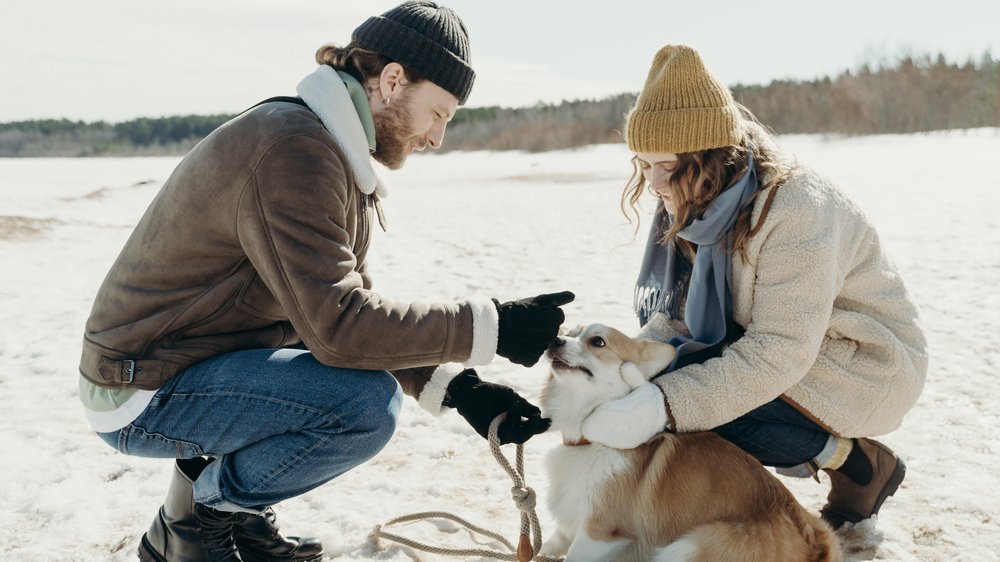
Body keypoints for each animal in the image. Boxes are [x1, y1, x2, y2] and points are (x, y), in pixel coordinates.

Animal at [536, 324, 840, 560]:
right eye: (569, 332)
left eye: (597, 341)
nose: (554, 340)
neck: (588, 442)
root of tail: (815, 543)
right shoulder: (569, 521)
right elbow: (545, 546)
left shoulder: (600, 533)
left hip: (687, 546)